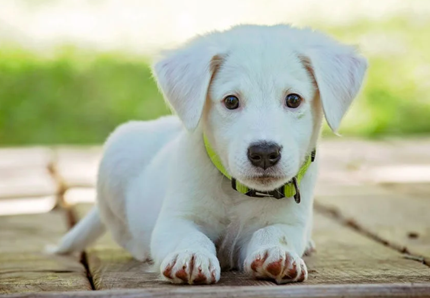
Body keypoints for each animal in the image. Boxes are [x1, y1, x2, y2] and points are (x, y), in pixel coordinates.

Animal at [52, 24, 368, 286]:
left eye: (293, 99)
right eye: (231, 101)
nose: (264, 153)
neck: (238, 193)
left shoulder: (290, 222)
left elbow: (275, 233)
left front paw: (277, 253)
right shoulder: (176, 218)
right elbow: (188, 235)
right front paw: (191, 256)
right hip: (115, 160)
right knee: (123, 233)